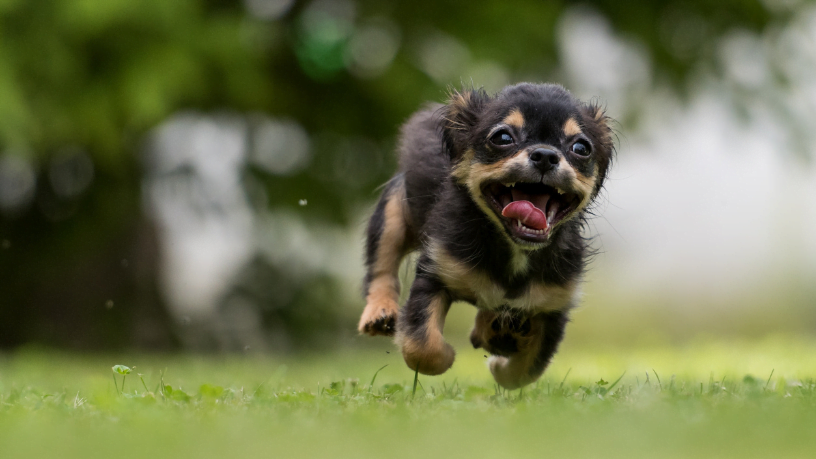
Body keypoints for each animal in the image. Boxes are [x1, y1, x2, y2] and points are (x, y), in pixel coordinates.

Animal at [356, 82, 612, 388]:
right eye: (502, 137)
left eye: (581, 148)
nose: (545, 155)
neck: (514, 249)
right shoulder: (435, 274)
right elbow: (422, 348)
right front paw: (448, 356)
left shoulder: (553, 306)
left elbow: (526, 371)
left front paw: (499, 364)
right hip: (392, 214)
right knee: (382, 267)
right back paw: (379, 313)